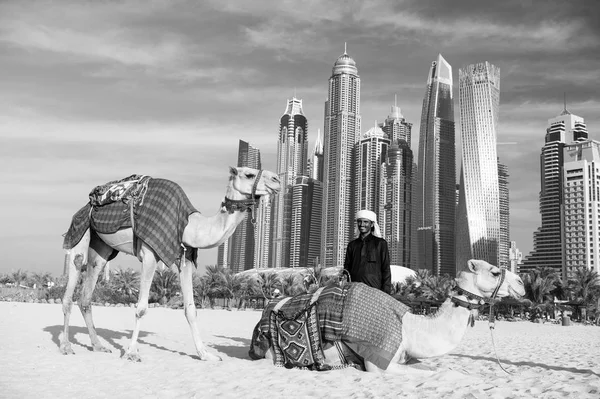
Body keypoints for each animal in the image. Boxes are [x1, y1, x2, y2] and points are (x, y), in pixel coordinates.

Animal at [61, 166, 282, 362]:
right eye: (249, 174)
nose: (277, 180)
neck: (189, 226)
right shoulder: (150, 253)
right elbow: (141, 307)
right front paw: (132, 353)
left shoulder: (184, 258)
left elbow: (191, 309)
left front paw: (206, 355)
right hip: (80, 231)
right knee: (73, 276)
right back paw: (66, 347)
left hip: (102, 248)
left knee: (86, 296)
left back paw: (98, 346)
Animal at [251, 260, 524, 376]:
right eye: (494, 272)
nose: (521, 283)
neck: (409, 328)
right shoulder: (378, 359)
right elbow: (430, 373)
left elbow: (435, 368)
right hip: (272, 353)